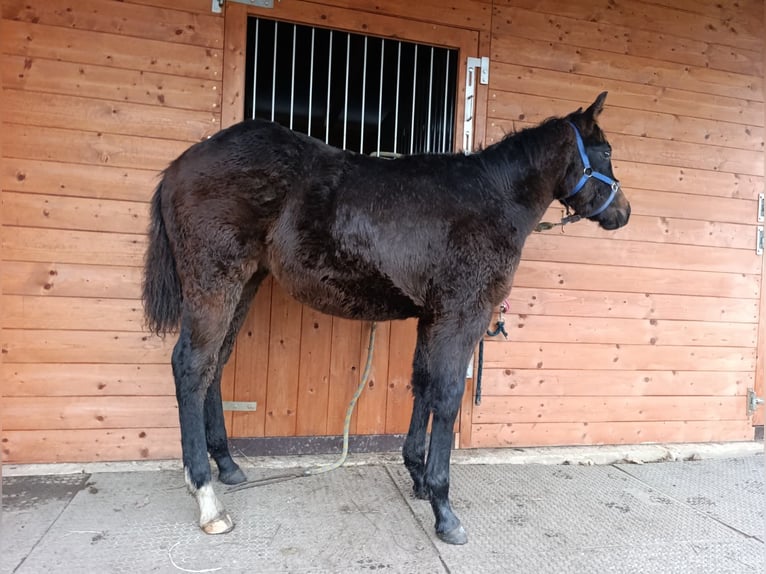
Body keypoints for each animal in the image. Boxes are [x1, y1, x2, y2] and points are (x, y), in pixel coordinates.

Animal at [142, 91, 630, 545]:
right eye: (605, 151)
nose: (622, 213)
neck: (491, 197)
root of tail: (178, 166)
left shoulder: (433, 317)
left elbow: (422, 385)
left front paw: (417, 476)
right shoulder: (462, 316)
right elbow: (447, 396)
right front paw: (443, 508)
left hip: (245, 284)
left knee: (215, 364)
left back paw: (227, 466)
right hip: (214, 283)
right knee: (191, 366)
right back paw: (207, 498)